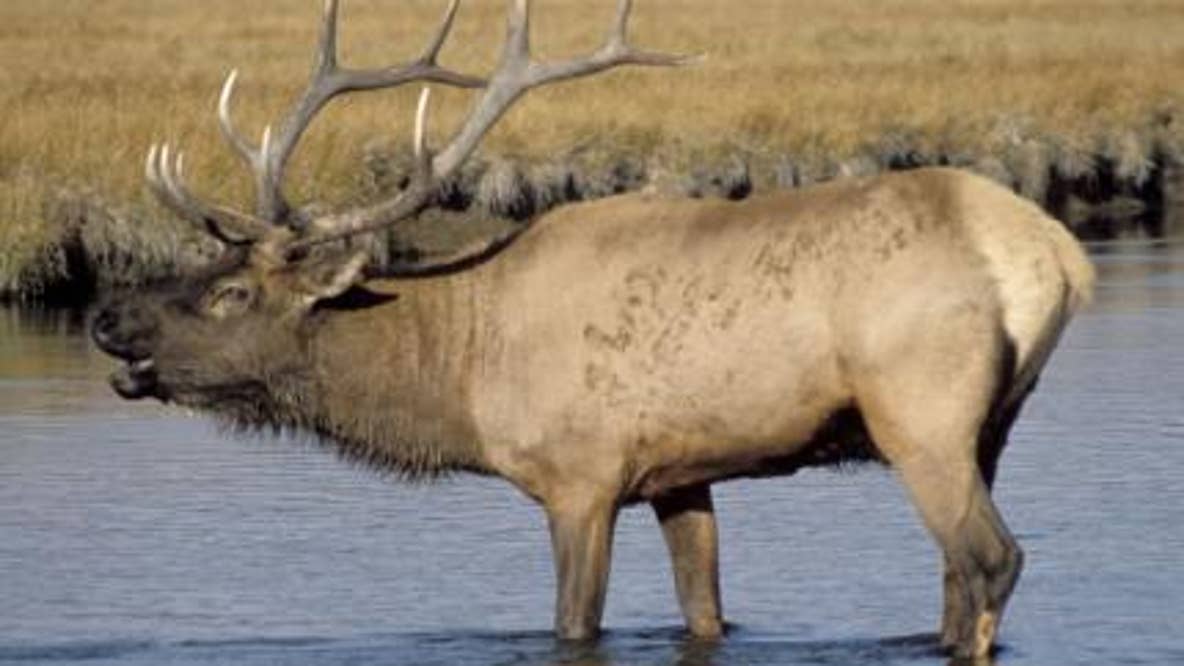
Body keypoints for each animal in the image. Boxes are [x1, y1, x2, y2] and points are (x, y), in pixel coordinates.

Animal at [90, 0, 1095, 659]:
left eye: (232, 292)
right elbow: (705, 610)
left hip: (918, 412)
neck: (461, 373)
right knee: (957, 575)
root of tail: (1052, 254)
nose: (105, 317)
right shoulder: (680, 474)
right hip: (994, 422)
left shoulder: (580, 474)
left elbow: (573, 624)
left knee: (989, 559)